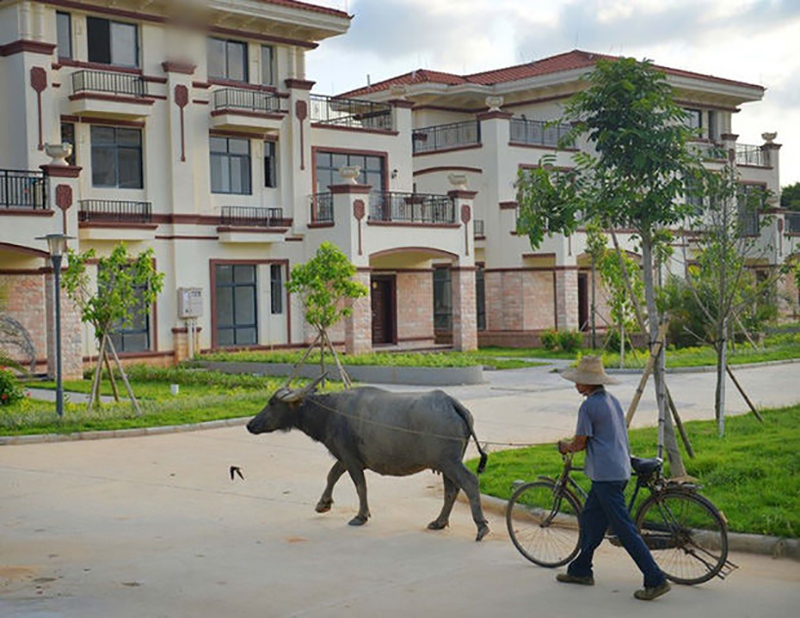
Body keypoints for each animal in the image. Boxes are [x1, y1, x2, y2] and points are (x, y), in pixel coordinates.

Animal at [247, 372, 490, 536]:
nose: (250, 425)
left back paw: (481, 526)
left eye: (272, 403)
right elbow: (332, 475)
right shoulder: (344, 457)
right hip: (446, 462)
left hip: (450, 461)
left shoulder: (351, 459)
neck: (330, 412)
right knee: (451, 490)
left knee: (469, 482)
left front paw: (360, 516)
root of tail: (452, 403)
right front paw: (323, 504)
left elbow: (359, 485)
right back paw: (439, 522)